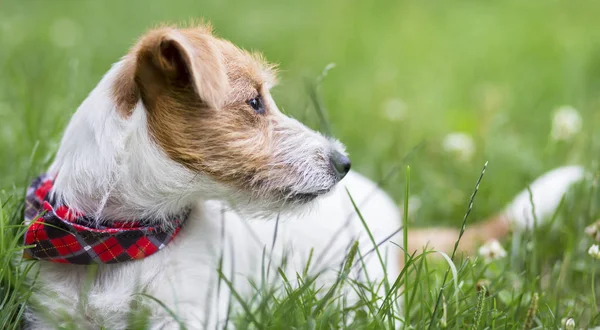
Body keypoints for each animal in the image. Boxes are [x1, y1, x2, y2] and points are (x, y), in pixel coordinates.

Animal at [24, 23, 584, 330]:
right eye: (254, 102)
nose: (342, 162)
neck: (117, 241)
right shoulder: (48, 316)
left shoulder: (189, 315)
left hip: (367, 291)